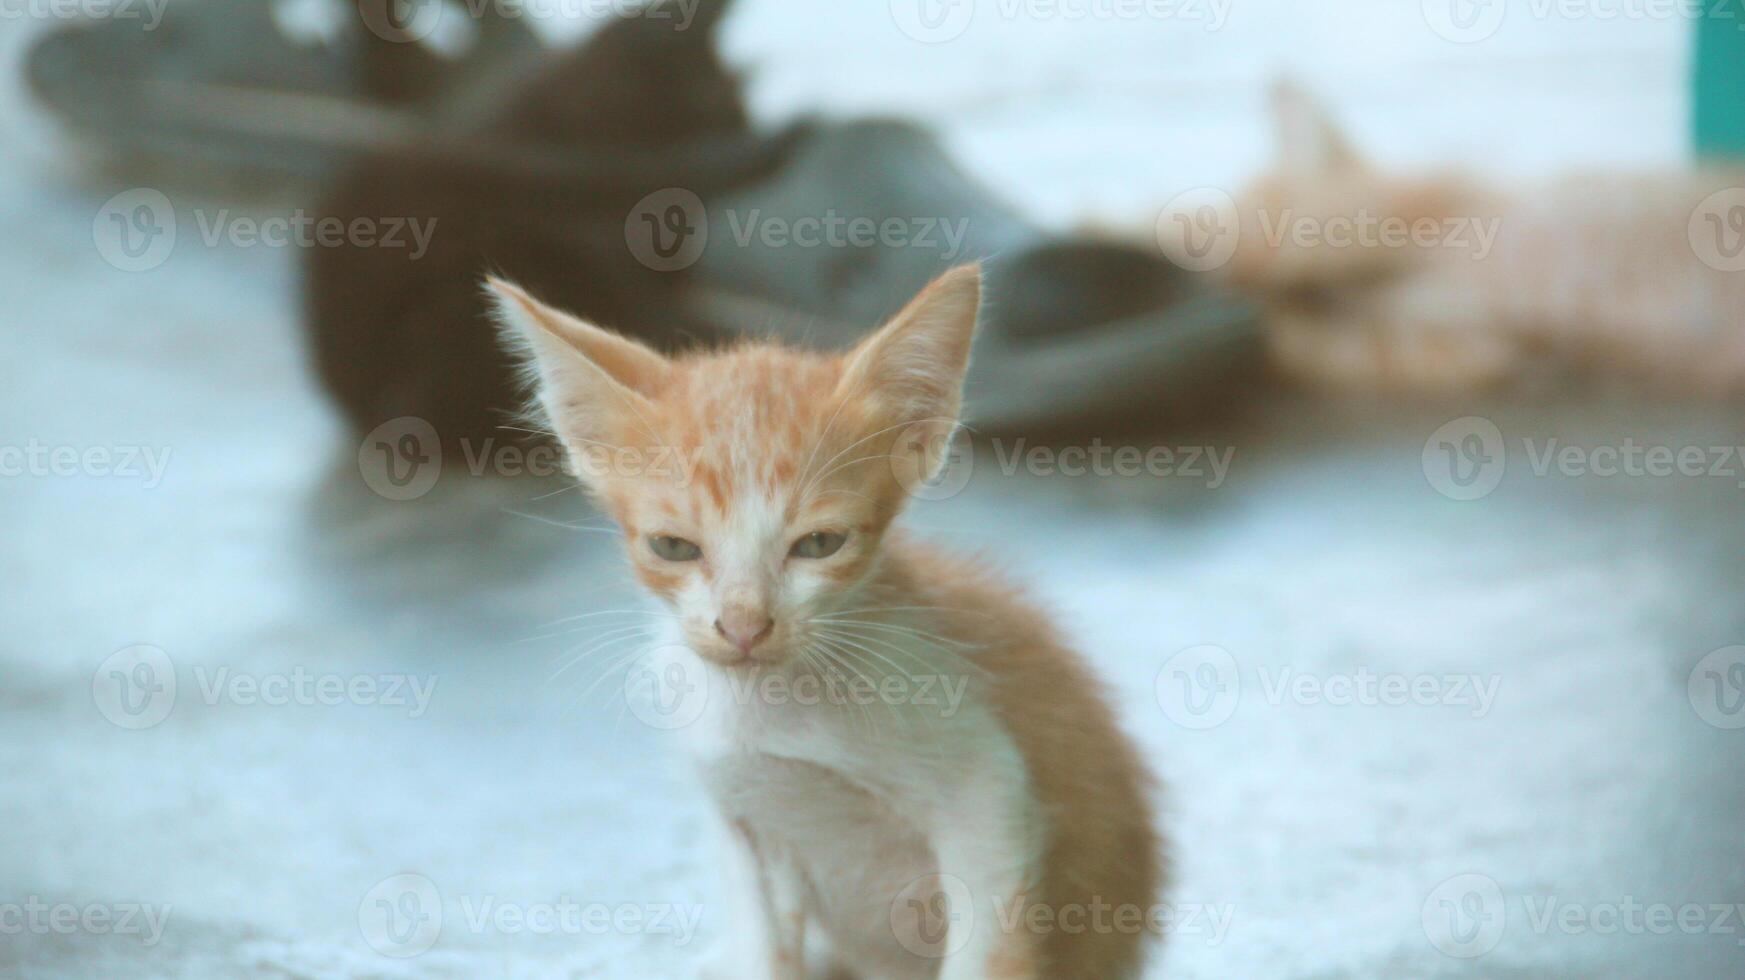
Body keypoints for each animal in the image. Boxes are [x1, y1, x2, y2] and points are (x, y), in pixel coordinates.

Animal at [492, 265, 1165, 976]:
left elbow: (988, 949)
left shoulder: (992, 799)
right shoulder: (742, 821)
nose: (743, 626)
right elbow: (763, 952)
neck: (771, 714)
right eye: (672, 547)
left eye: (819, 544)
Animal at [1221, 81, 1745, 392]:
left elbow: (1328, 230)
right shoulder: (1440, 350)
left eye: (1261, 195)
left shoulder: (1423, 206)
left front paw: (1214, 236)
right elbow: (1318, 343)